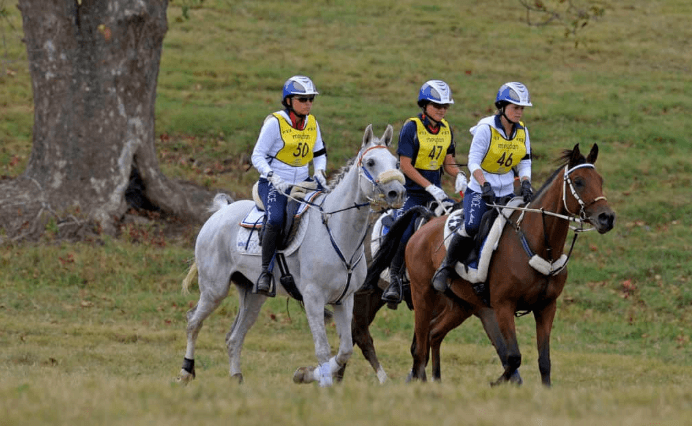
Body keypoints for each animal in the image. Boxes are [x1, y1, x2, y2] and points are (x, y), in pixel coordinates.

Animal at [176, 124, 406, 387]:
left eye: (396, 163)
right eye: (370, 162)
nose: (397, 192)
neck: (338, 231)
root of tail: (220, 213)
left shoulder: (344, 299)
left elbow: (345, 349)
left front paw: (306, 374)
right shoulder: (313, 298)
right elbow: (323, 348)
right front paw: (321, 382)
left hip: (253, 295)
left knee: (233, 337)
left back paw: (236, 377)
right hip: (214, 289)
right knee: (193, 322)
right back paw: (185, 371)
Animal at [366, 143, 615, 385]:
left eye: (600, 180)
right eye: (579, 181)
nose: (607, 218)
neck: (538, 245)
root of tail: (425, 224)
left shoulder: (546, 307)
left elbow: (544, 361)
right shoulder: (503, 306)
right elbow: (513, 357)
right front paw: (498, 383)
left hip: (460, 304)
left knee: (434, 333)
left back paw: (436, 379)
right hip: (423, 296)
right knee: (419, 348)